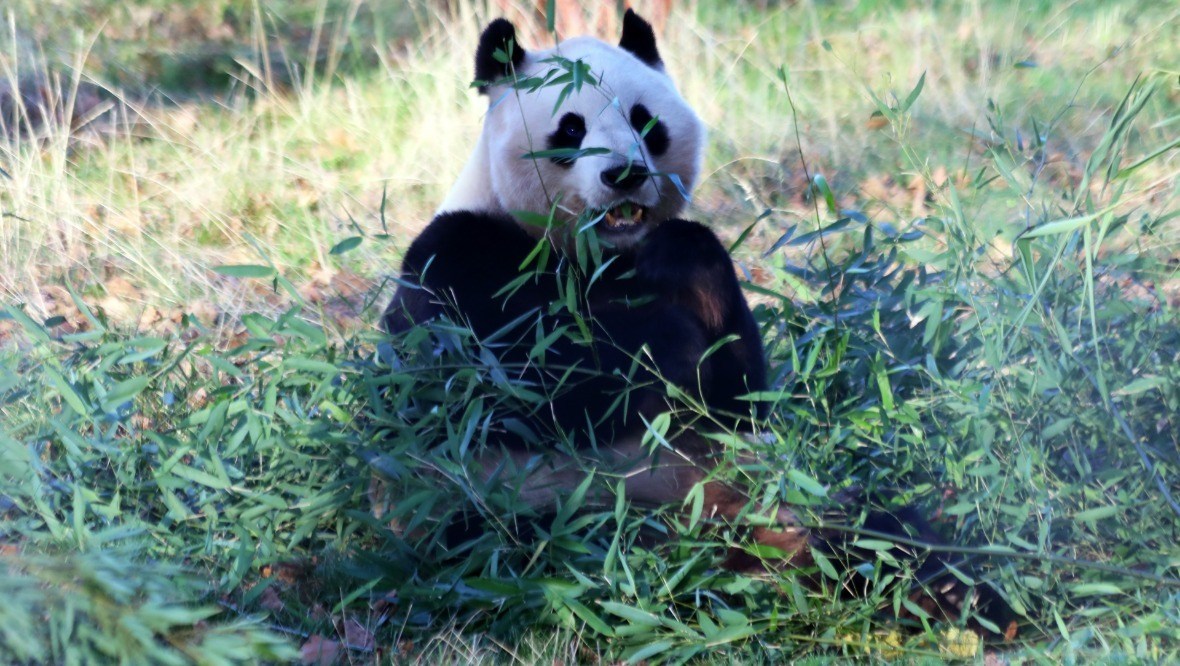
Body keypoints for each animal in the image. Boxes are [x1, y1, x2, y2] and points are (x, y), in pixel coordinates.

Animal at [382, 10, 1010, 632]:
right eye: (570, 128)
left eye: (644, 120)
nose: (625, 174)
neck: (596, 255)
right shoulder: (457, 255)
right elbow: (513, 379)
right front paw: (661, 348)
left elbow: (739, 393)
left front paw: (678, 273)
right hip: (544, 512)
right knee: (573, 548)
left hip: (777, 484)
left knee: (876, 528)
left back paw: (952, 591)